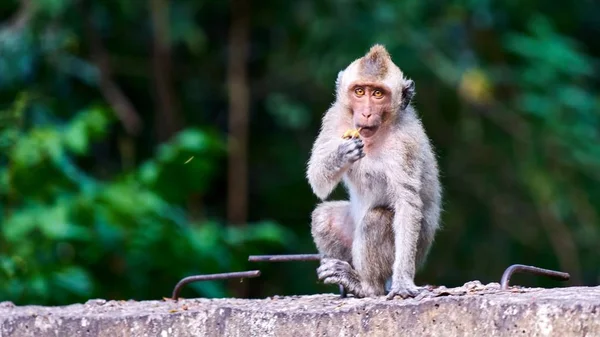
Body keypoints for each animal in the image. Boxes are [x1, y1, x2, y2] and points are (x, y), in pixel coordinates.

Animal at [308, 43, 442, 298]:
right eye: (359, 92)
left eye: (378, 94)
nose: (366, 113)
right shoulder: (333, 117)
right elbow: (316, 178)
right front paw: (342, 153)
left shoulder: (405, 143)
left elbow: (407, 204)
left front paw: (402, 282)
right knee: (324, 217)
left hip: (416, 252)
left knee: (377, 219)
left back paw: (364, 285)